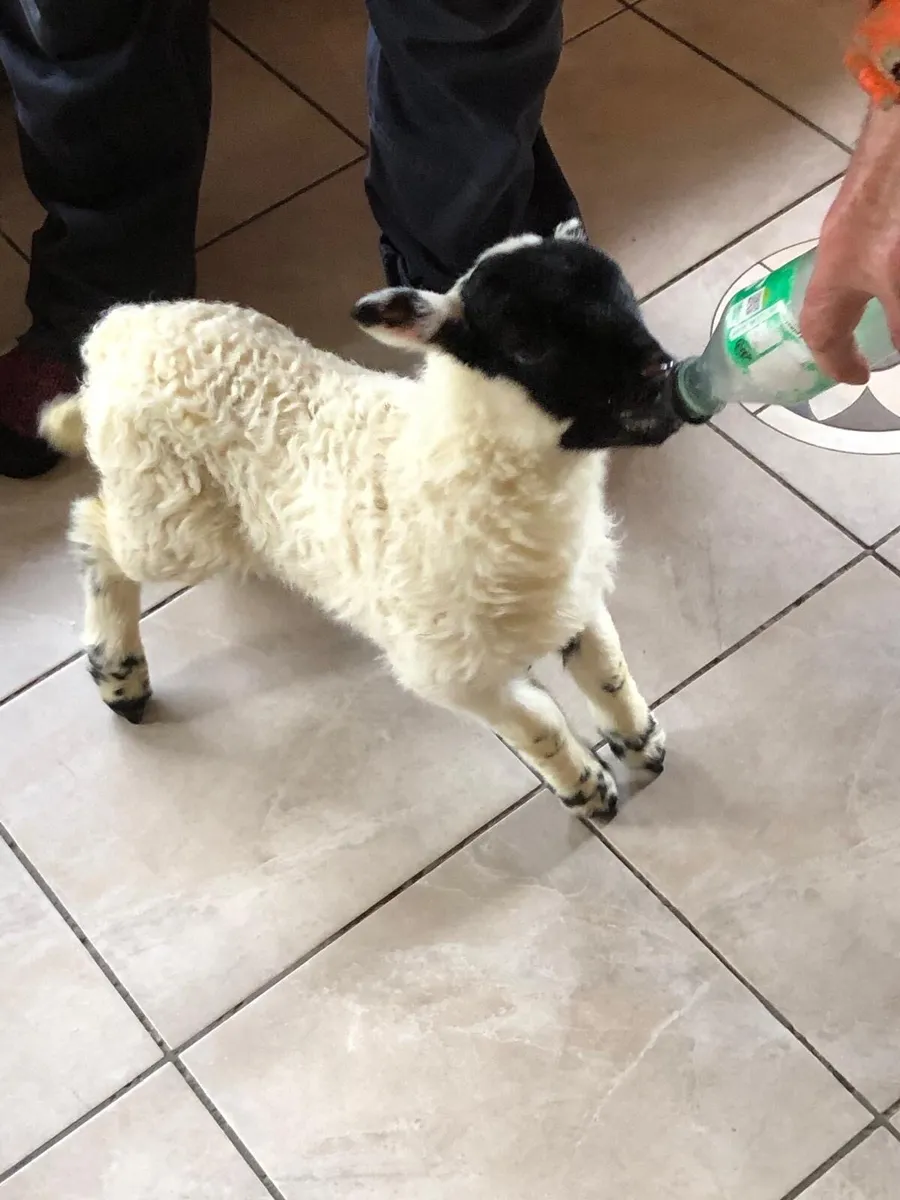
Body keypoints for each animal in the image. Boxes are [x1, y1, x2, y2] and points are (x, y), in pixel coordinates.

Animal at [40, 218, 685, 820]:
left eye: (628, 295)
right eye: (527, 343)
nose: (662, 375)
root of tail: (119, 332)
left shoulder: (573, 597)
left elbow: (608, 669)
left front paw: (641, 744)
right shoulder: (449, 672)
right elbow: (539, 723)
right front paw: (588, 791)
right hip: (168, 514)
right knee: (93, 526)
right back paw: (120, 677)